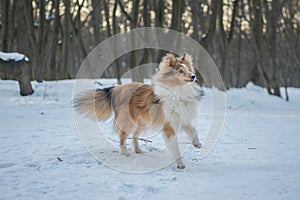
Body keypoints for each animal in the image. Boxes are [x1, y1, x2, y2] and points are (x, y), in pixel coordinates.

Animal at [73, 52, 203, 169]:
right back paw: (125, 152)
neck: (178, 91)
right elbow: (175, 148)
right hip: (129, 121)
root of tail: (118, 88)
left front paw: (197, 143)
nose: (193, 76)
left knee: (135, 135)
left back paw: (137, 150)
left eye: (189, 69)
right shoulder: (169, 126)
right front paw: (180, 164)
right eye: (180, 71)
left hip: (143, 121)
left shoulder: (183, 118)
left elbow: (193, 129)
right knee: (122, 136)